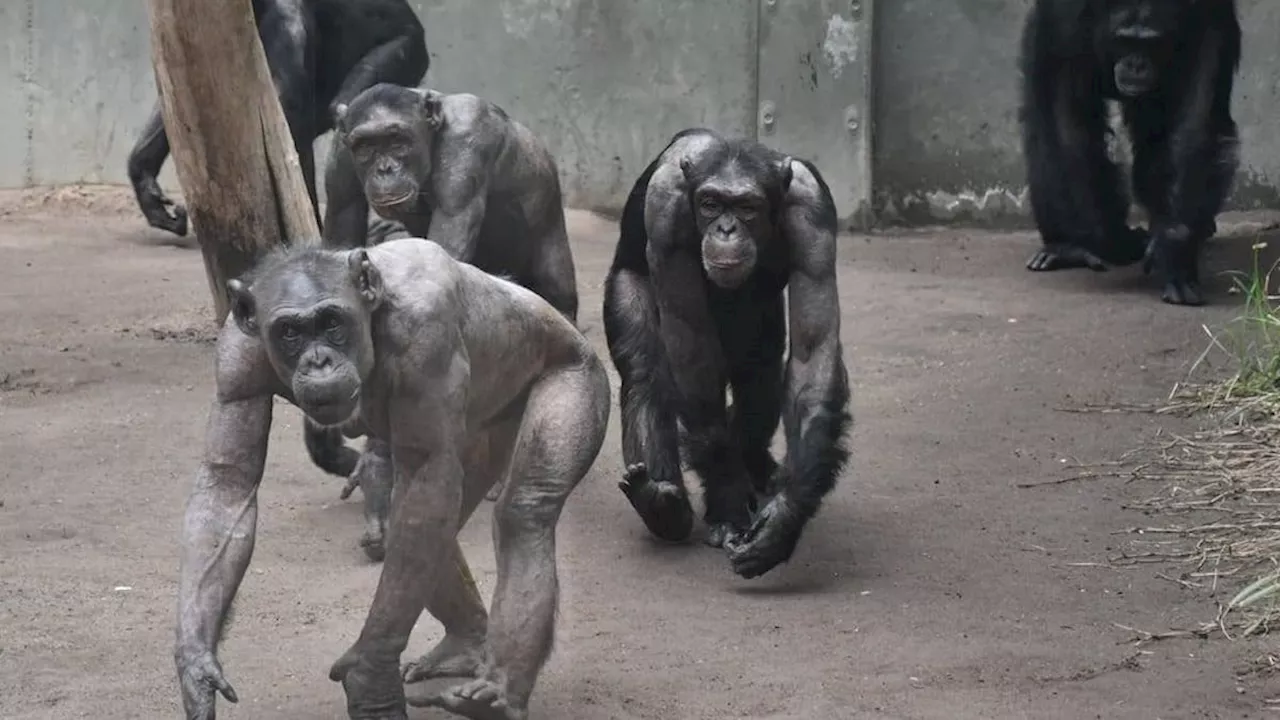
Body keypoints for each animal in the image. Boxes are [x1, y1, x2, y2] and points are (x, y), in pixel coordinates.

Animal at [174, 237, 609, 717]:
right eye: (289, 332)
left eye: (331, 323)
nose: (319, 360)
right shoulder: (236, 363)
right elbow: (228, 483)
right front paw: (196, 665)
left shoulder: (426, 341)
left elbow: (427, 473)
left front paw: (372, 675)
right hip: (489, 429)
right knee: (434, 527)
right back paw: (465, 646)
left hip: (577, 375)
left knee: (518, 513)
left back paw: (499, 692)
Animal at [601, 127, 860, 576]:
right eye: (710, 204)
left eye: (747, 207)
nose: (725, 229)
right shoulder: (666, 214)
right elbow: (691, 348)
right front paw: (727, 501)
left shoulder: (813, 214)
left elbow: (812, 352)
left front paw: (784, 519)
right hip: (626, 282)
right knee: (646, 372)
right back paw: (661, 501)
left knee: (762, 374)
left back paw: (757, 468)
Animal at [1018, 0, 1239, 304]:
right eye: (1123, 41)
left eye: (1151, 44)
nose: (1136, 65)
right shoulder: (1064, 17)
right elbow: (1066, 114)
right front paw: (1112, 242)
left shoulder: (1208, 19)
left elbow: (1196, 115)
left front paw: (1173, 246)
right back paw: (1066, 246)